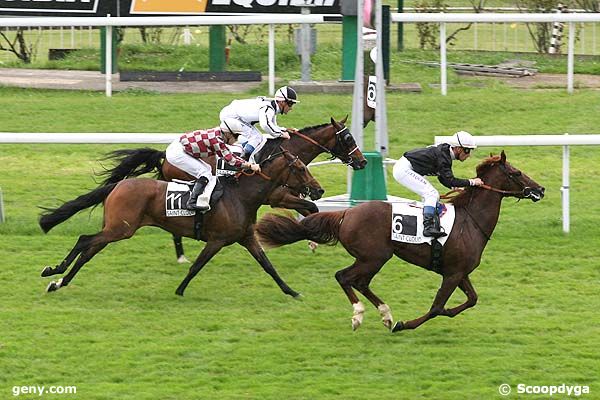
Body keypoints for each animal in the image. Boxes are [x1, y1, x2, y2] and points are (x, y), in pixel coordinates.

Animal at [39, 140, 324, 296]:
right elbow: (196, 266)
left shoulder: (246, 237)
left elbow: (268, 266)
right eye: (300, 168)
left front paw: (292, 292)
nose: (319, 190)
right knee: (85, 240)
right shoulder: (217, 240)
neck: (241, 195)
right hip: (121, 229)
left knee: (89, 249)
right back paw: (54, 272)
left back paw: (59, 282)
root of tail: (118, 186)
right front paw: (179, 289)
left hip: (116, 228)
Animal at [96, 115, 366, 262]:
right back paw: (182, 255)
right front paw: (311, 240)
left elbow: (311, 208)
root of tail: (165, 155)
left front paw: (312, 240)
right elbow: (310, 207)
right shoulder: (278, 196)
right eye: (348, 138)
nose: (362, 161)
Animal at [255, 152, 548, 332]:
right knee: (345, 277)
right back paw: (361, 315)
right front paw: (405, 325)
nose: (540, 189)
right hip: (374, 256)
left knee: (359, 282)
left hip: (373, 258)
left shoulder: (459, 271)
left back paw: (385, 314)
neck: (471, 220)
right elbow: (437, 308)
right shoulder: (452, 274)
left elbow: (472, 299)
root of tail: (346, 213)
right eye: (517, 173)